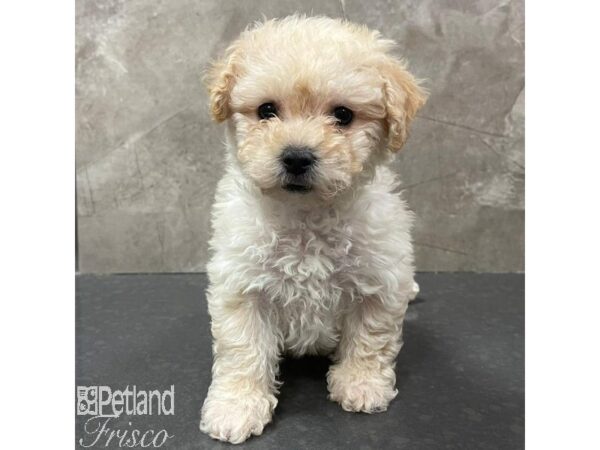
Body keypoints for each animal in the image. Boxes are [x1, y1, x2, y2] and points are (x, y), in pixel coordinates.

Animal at [199, 16, 424, 442]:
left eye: (343, 116)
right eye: (267, 110)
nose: (297, 157)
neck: (306, 216)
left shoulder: (380, 280)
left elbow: (370, 338)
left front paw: (362, 385)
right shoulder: (242, 286)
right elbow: (243, 350)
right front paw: (236, 407)